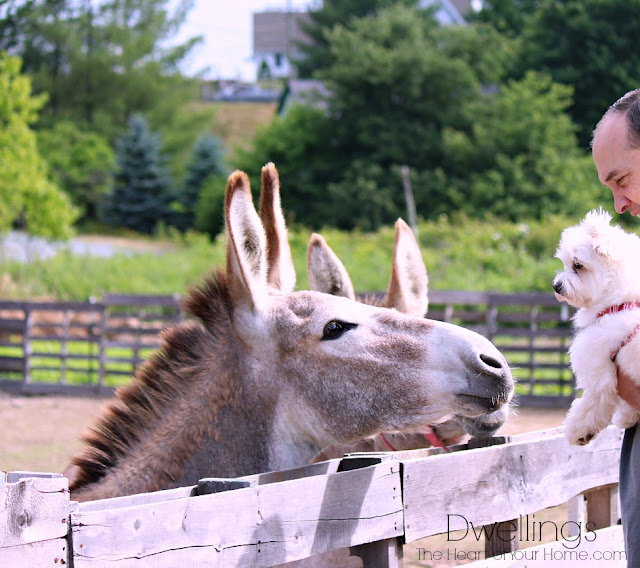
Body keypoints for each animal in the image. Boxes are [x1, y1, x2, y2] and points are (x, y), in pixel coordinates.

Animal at [552, 209, 640, 444]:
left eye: (578, 265)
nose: (556, 286)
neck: (620, 303)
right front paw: (627, 418)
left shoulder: (599, 367)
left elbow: (592, 403)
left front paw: (579, 431)